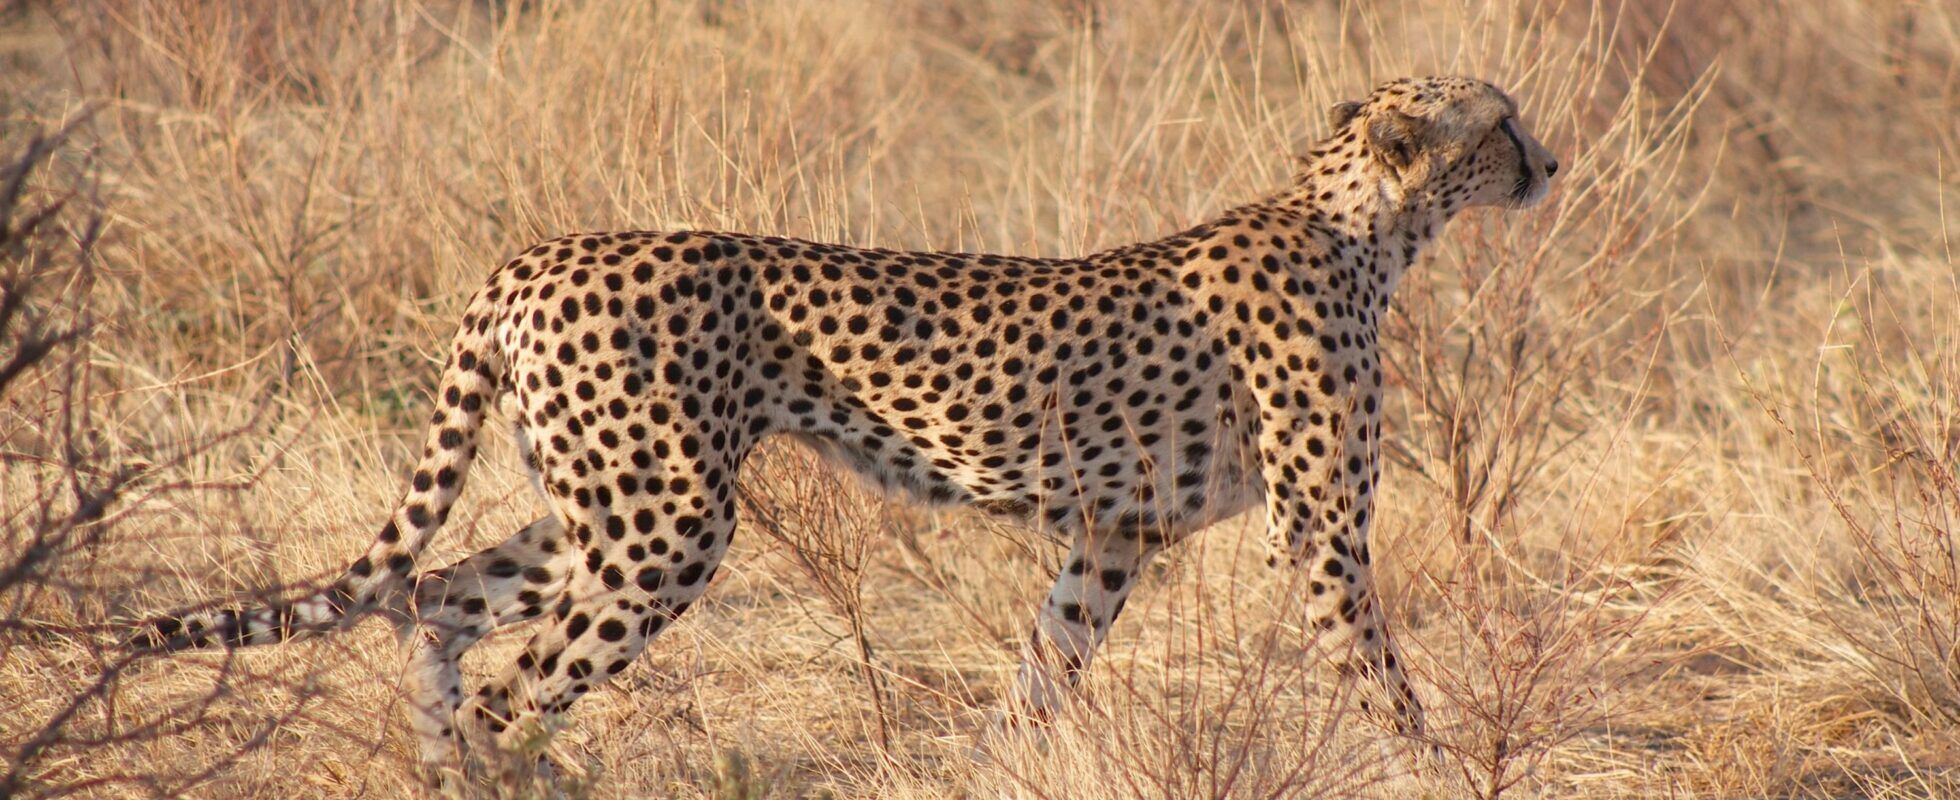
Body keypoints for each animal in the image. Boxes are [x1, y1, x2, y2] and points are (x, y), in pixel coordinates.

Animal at [137, 75, 1558, 781]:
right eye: (1499, 122)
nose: (1549, 165)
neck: (1367, 223)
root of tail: (536, 254)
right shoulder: (1314, 533)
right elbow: (1377, 668)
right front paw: (1435, 766)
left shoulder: (1112, 531)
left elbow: (1046, 662)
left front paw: (993, 765)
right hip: (664, 526)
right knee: (507, 681)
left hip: (602, 506)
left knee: (436, 598)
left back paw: (436, 760)